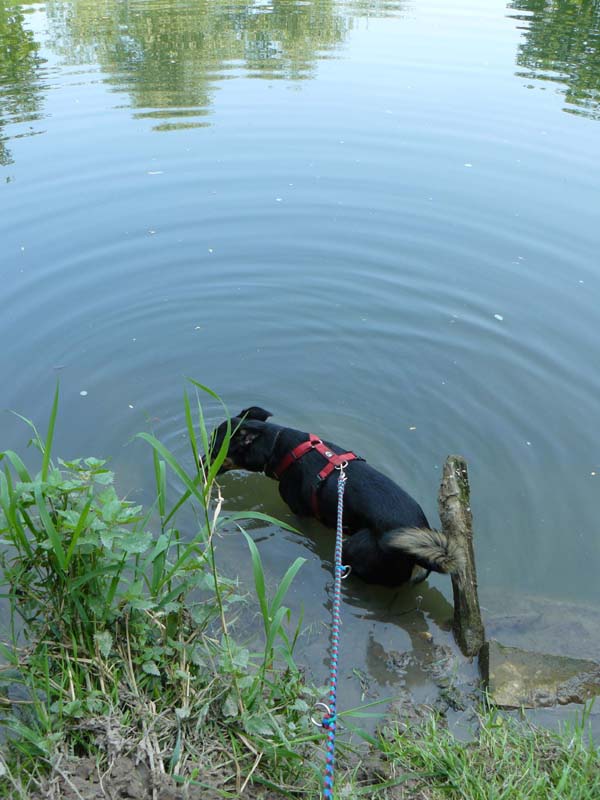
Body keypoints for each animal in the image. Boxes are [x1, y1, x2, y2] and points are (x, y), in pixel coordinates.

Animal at [206, 406, 464, 587]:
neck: (280, 446)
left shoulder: (300, 513)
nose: (199, 463)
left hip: (355, 547)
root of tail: (417, 558)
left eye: (214, 451)